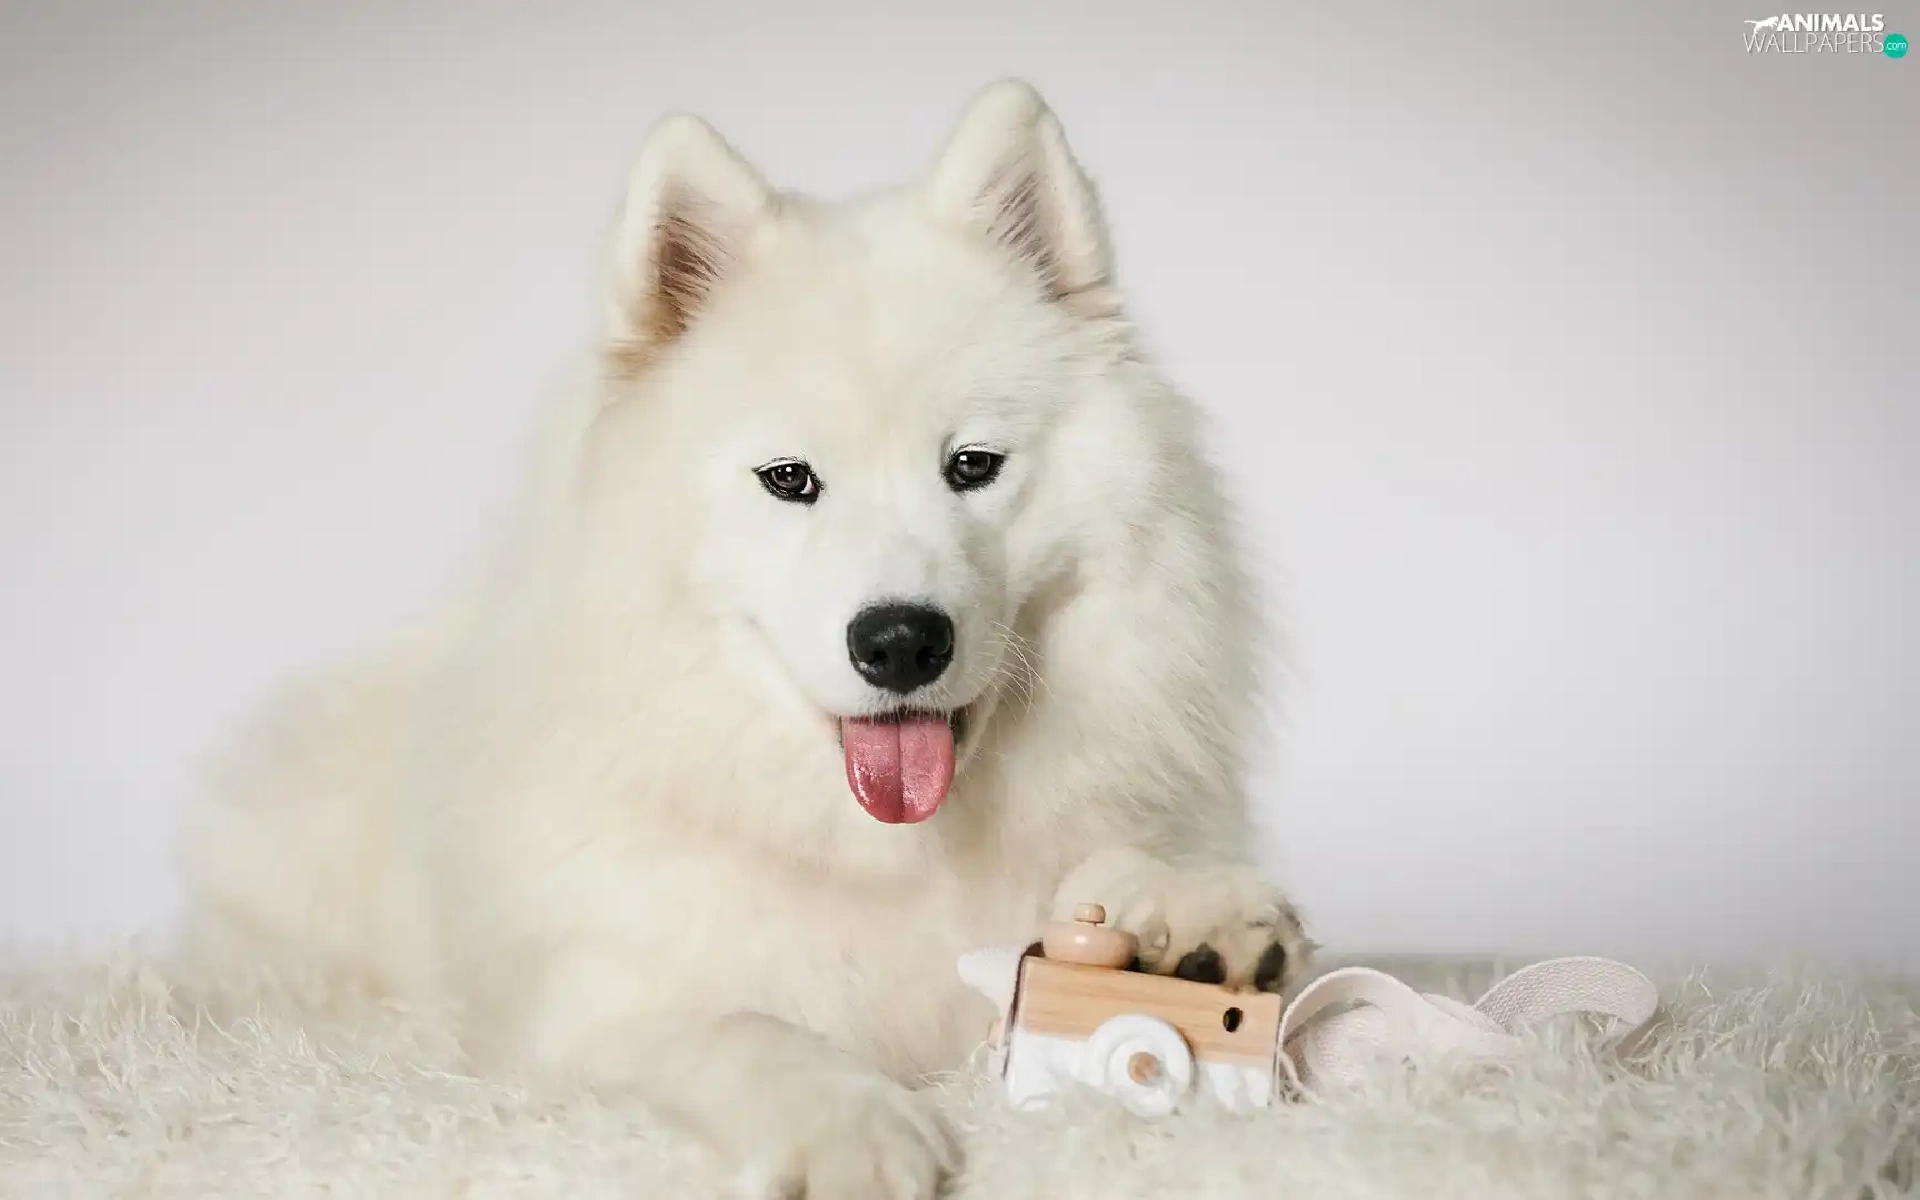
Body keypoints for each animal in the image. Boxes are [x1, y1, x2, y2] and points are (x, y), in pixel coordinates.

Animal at [178, 79, 1311, 1199]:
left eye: (973, 465)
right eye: (790, 479)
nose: (901, 641)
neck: (889, 859)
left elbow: (1120, 873)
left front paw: (1189, 920)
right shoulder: (591, 1014)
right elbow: (740, 1032)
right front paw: (853, 1129)